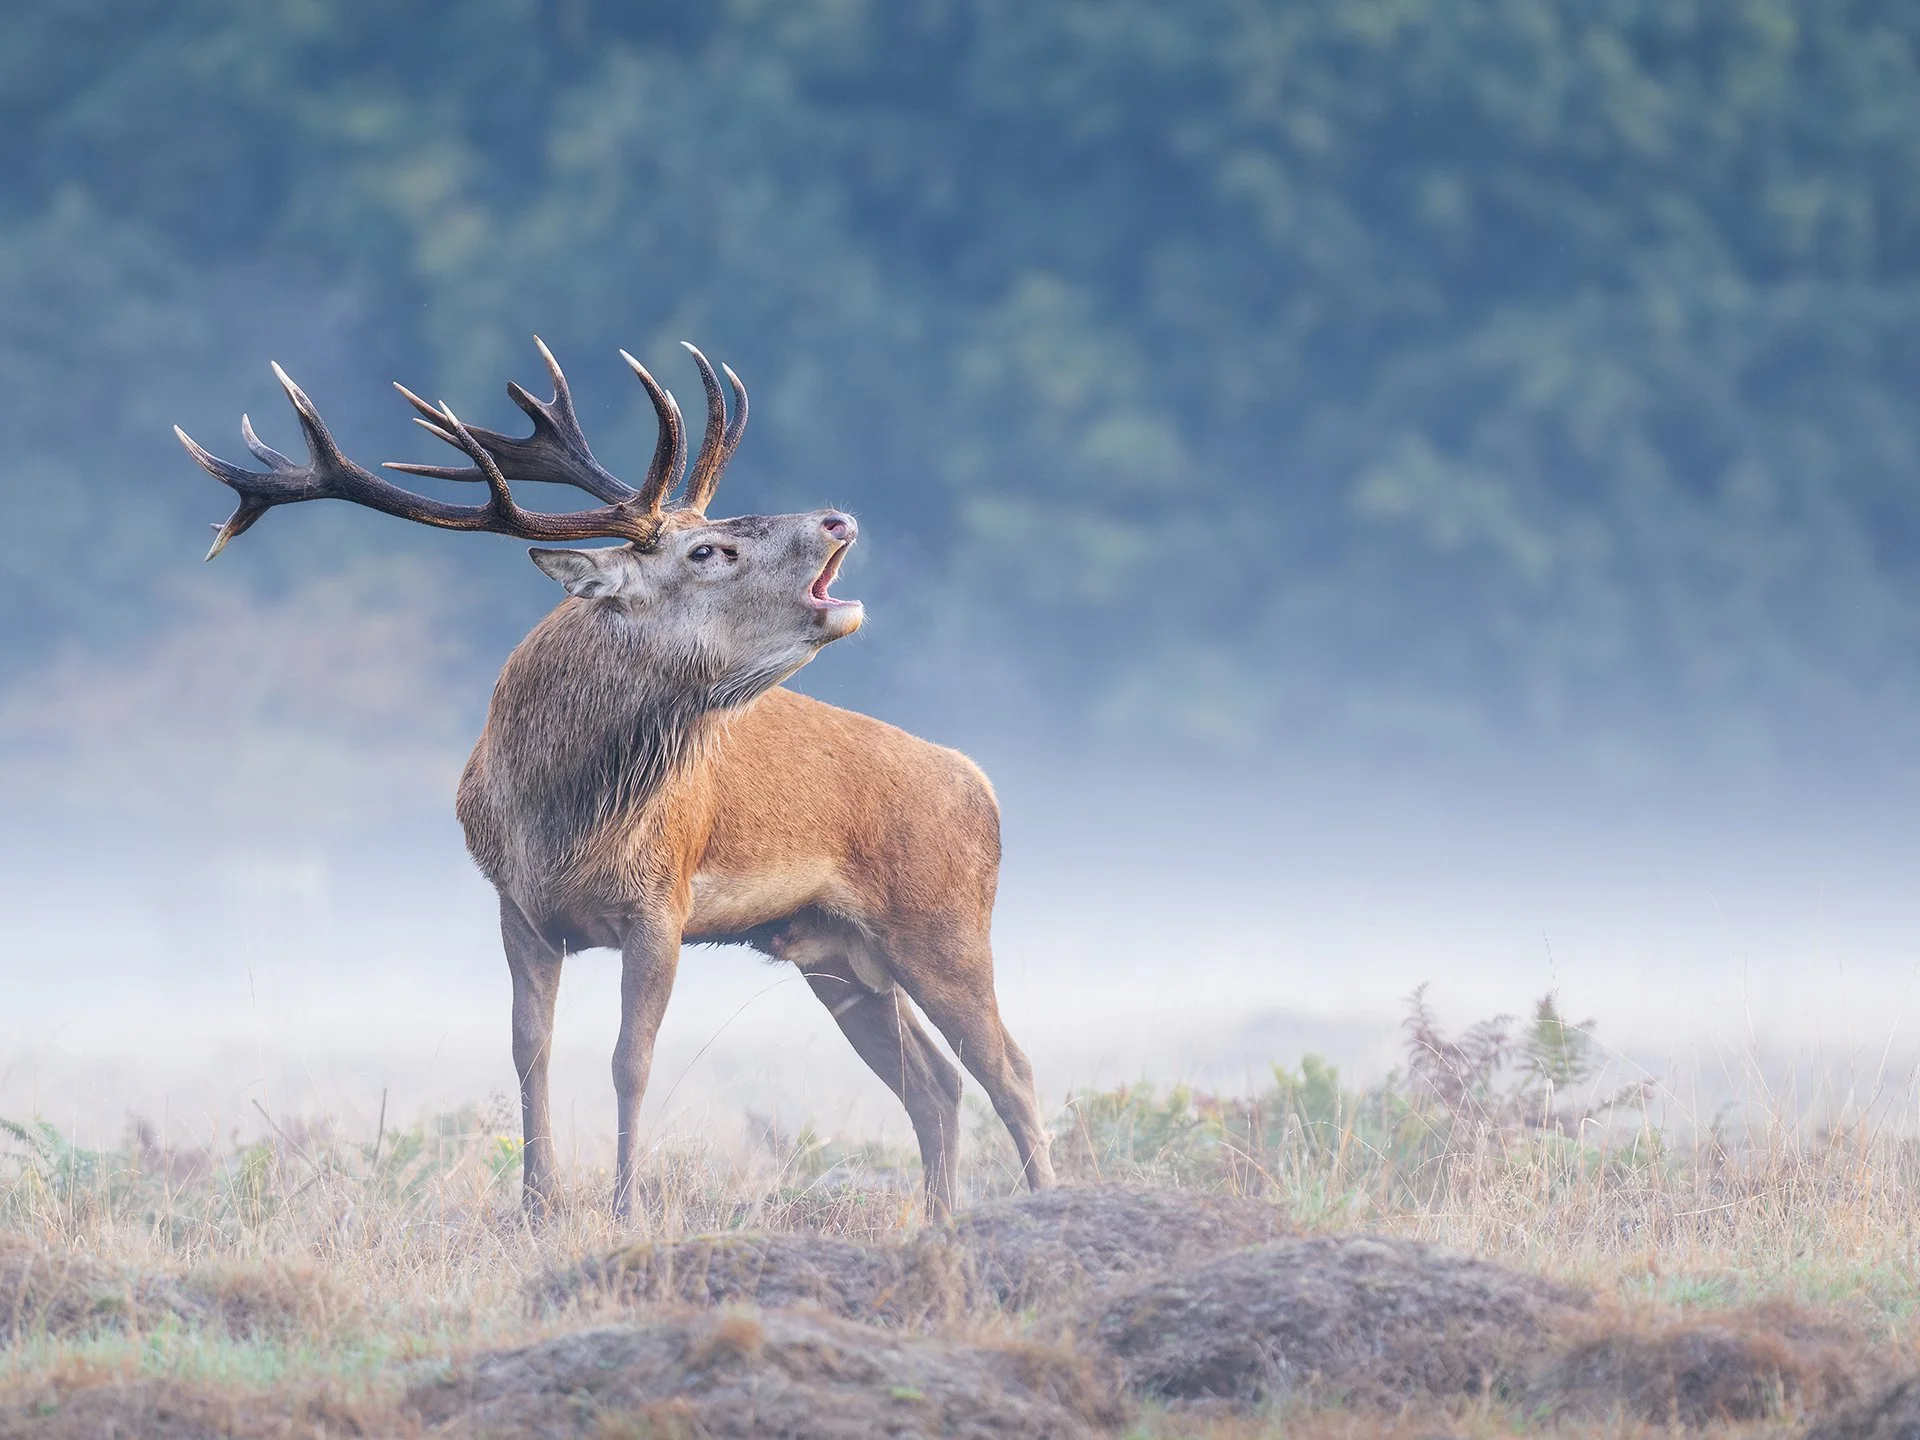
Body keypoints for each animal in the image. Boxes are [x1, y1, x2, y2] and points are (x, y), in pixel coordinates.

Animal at [174, 339, 1056, 1218]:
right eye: (707, 550)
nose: (837, 518)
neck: (558, 823)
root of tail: (983, 784)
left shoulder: (661, 900)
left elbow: (631, 1058)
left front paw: (625, 1205)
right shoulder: (516, 907)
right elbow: (529, 1049)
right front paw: (537, 1204)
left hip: (941, 919)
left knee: (1009, 1070)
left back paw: (1040, 1200)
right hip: (837, 953)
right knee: (936, 1084)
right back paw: (941, 1216)